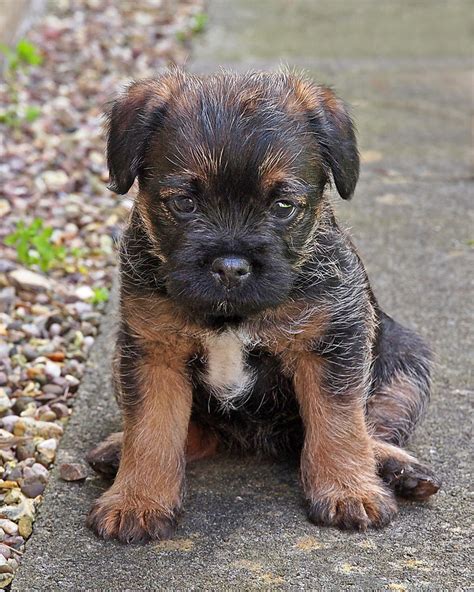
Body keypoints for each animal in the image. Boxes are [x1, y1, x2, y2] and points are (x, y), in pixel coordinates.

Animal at [86, 67, 440, 544]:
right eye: (184, 203)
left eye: (283, 206)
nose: (231, 266)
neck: (230, 315)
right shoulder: (151, 351)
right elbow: (152, 430)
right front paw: (138, 499)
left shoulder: (334, 343)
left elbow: (340, 422)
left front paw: (348, 490)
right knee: (194, 434)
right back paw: (116, 449)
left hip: (405, 359)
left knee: (374, 425)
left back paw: (396, 467)